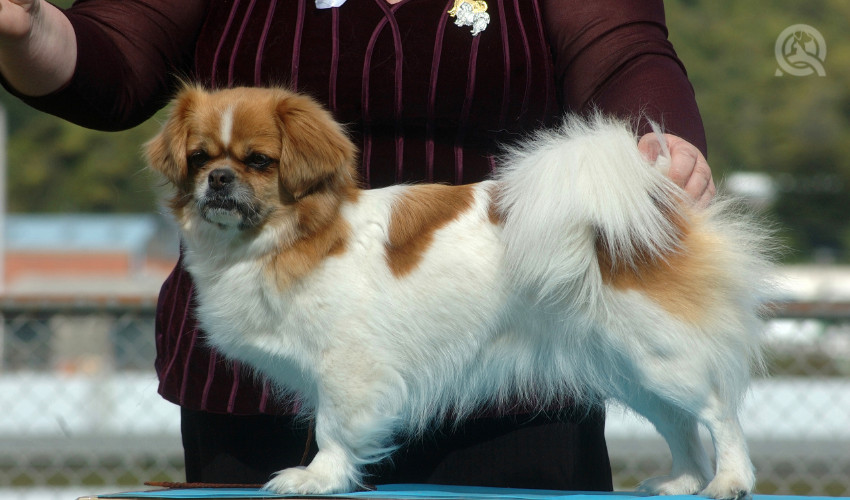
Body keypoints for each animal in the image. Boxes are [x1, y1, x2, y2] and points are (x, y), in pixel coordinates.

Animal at [149, 85, 772, 496]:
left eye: (258, 161)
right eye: (199, 158)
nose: (218, 179)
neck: (292, 237)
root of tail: (654, 198)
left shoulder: (349, 369)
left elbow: (332, 428)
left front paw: (318, 478)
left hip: (662, 357)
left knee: (719, 414)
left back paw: (729, 481)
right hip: (634, 368)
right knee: (681, 425)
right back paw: (682, 482)